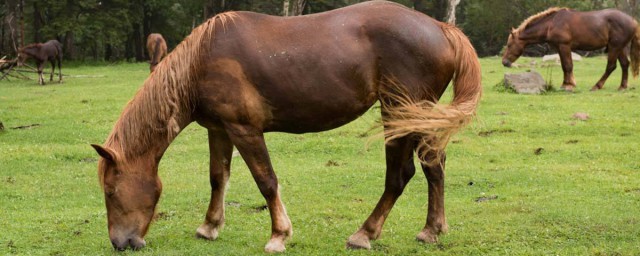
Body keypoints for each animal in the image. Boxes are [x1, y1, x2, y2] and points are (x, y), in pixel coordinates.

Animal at [90, 0, 480, 252]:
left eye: (110, 191)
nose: (121, 243)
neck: (201, 62)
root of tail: (441, 28)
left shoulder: (245, 130)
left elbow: (266, 181)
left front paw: (278, 235)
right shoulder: (219, 129)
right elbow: (218, 178)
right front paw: (209, 227)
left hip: (399, 114)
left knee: (400, 176)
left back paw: (364, 234)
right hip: (420, 116)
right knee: (434, 166)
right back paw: (431, 230)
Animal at [500, 7, 640, 91]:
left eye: (509, 45)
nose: (504, 62)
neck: (551, 24)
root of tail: (633, 21)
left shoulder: (564, 46)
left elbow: (568, 65)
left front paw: (569, 85)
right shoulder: (559, 48)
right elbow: (564, 66)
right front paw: (566, 83)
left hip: (614, 47)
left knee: (611, 66)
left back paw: (597, 86)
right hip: (619, 48)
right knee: (624, 64)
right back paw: (622, 86)